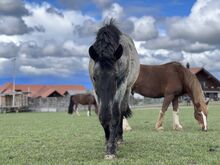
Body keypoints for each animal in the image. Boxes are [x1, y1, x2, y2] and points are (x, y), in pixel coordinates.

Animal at [87, 19, 139, 160]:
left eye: (115, 77)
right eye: (94, 77)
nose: (106, 117)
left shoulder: (121, 85)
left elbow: (115, 115)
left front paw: (111, 149)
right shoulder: (95, 91)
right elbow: (101, 115)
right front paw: (107, 141)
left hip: (126, 90)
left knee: (121, 112)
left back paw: (118, 138)